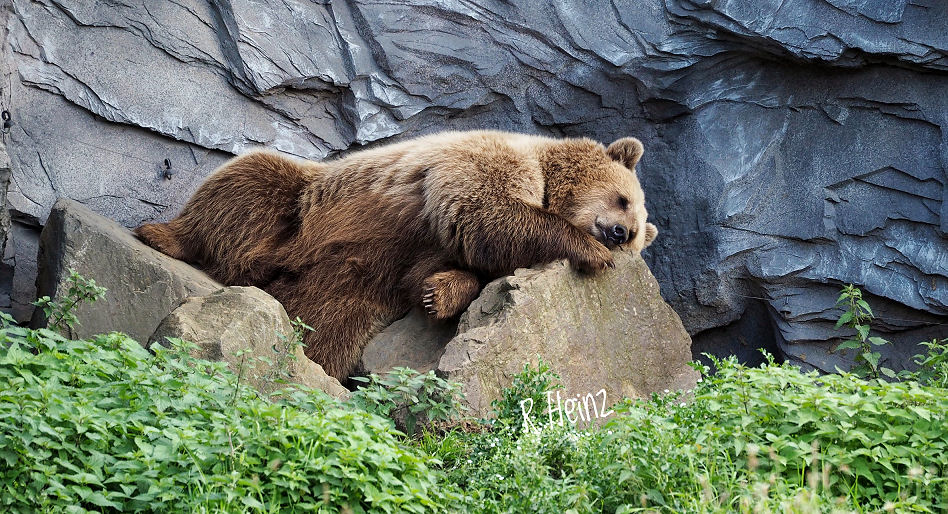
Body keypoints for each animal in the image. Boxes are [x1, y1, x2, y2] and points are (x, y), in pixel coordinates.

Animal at [137, 131, 660, 380]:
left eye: (636, 233)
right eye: (623, 199)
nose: (618, 233)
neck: (547, 180)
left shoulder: (419, 252)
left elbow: (449, 270)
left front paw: (438, 295)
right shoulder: (483, 166)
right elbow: (487, 215)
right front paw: (588, 249)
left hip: (346, 285)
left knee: (326, 329)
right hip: (306, 204)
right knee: (248, 182)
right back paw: (164, 235)